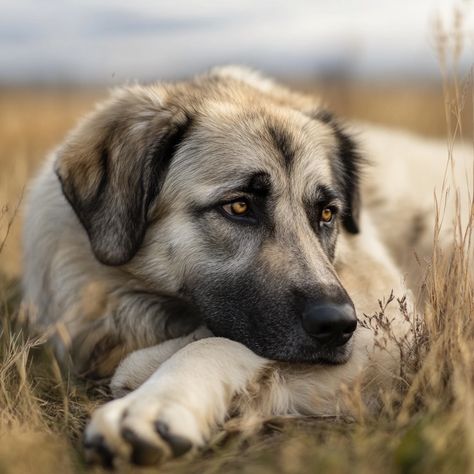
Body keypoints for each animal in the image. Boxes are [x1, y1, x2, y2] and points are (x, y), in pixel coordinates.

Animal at [21, 65, 470, 464]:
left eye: (327, 213)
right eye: (239, 206)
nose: (338, 325)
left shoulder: (388, 339)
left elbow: (215, 342)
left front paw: (154, 403)